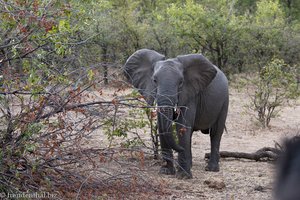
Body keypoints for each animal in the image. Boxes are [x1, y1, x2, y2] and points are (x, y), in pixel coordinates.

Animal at [123, 49, 229, 179]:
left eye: (181, 82)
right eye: (154, 81)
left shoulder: (191, 94)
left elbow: (182, 126)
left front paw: (183, 176)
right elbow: (163, 126)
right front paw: (166, 172)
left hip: (225, 100)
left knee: (215, 132)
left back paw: (211, 169)